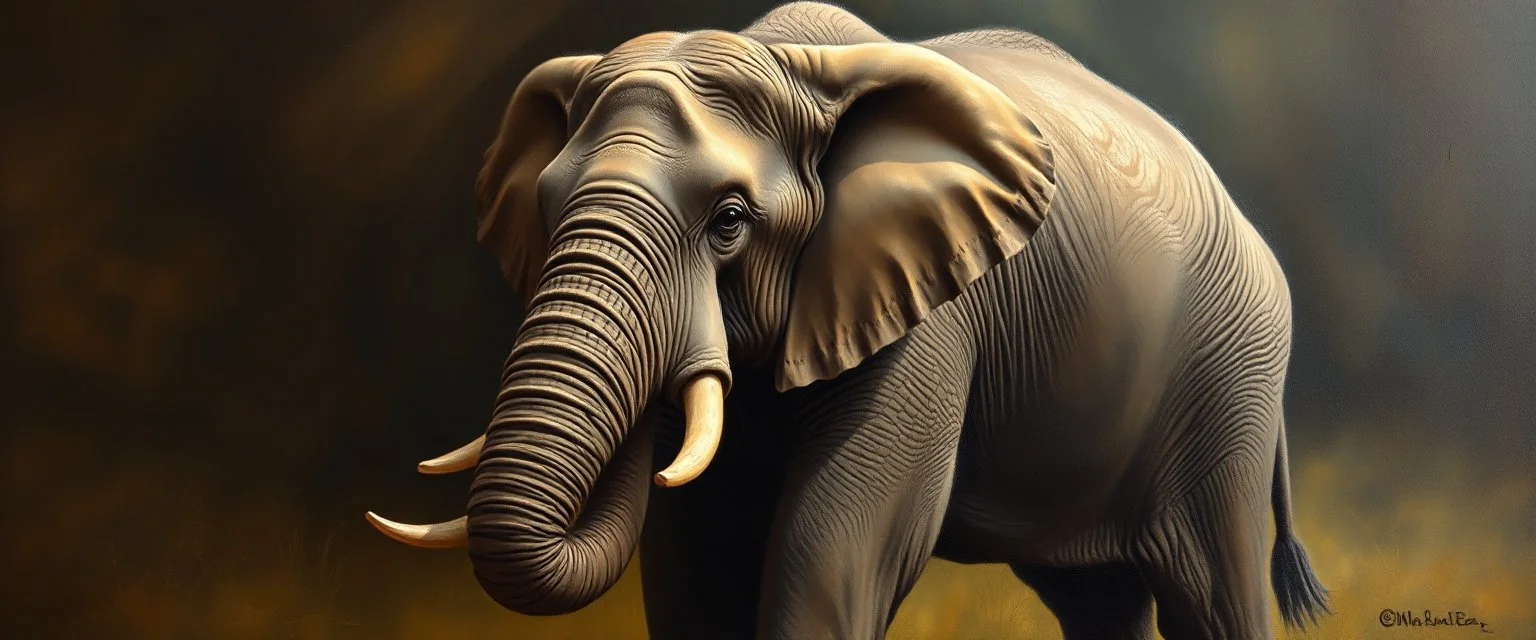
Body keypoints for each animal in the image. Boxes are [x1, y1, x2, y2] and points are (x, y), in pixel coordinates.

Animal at [367, 3, 1331, 639]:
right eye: (546, 207)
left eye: (729, 222)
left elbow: (841, 542)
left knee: (1210, 587)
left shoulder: (933, 317)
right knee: (1097, 599)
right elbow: (692, 559)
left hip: (1226, 378)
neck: (781, 58)